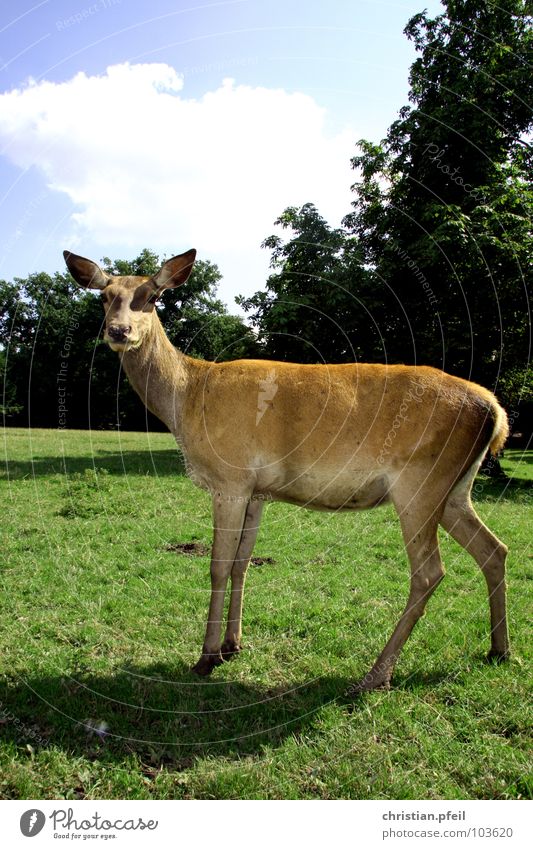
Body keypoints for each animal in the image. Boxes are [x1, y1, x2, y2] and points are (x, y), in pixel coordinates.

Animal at [64, 245, 510, 688]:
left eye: (152, 297)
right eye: (104, 297)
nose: (118, 331)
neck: (186, 401)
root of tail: (496, 411)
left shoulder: (231, 478)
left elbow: (218, 565)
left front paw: (206, 656)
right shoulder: (258, 490)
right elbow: (242, 562)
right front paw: (233, 645)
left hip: (419, 483)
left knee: (430, 571)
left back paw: (376, 674)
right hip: (455, 489)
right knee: (494, 549)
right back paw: (499, 650)